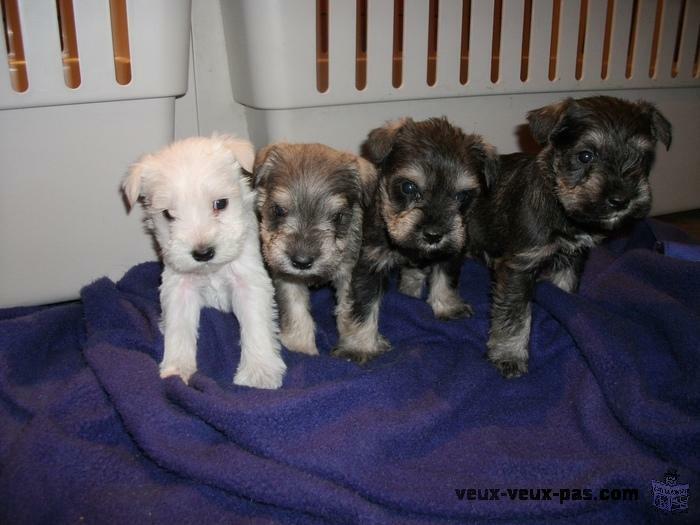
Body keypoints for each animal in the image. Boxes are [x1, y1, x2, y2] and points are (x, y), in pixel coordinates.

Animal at [121, 135, 286, 388]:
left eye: (220, 204)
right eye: (168, 214)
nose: (203, 253)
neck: (212, 270)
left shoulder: (248, 282)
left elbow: (255, 325)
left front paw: (260, 372)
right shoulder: (179, 286)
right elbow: (179, 329)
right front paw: (177, 370)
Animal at [253, 143, 378, 356]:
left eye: (337, 216)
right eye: (278, 210)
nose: (302, 261)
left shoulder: (349, 273)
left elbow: (348, 308)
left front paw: (352, 343)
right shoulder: (286, 277)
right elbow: (295, 309)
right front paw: (301, 346)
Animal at [334, 116, 498, 362]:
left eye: (461, 196)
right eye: (408, 187)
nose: (434, 235)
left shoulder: (451, 252)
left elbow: (446, 279)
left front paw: (448, 306)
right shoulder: (368, 265)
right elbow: (364, 305)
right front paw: (361, 346)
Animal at [470, 95, 672, 376]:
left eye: (642, 158)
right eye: (585, 155)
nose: (621, 200)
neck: (561, 205)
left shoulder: (573, 257)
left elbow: (564, 288)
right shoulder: (519, 266)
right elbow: (515, 316)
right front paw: (508, 355)